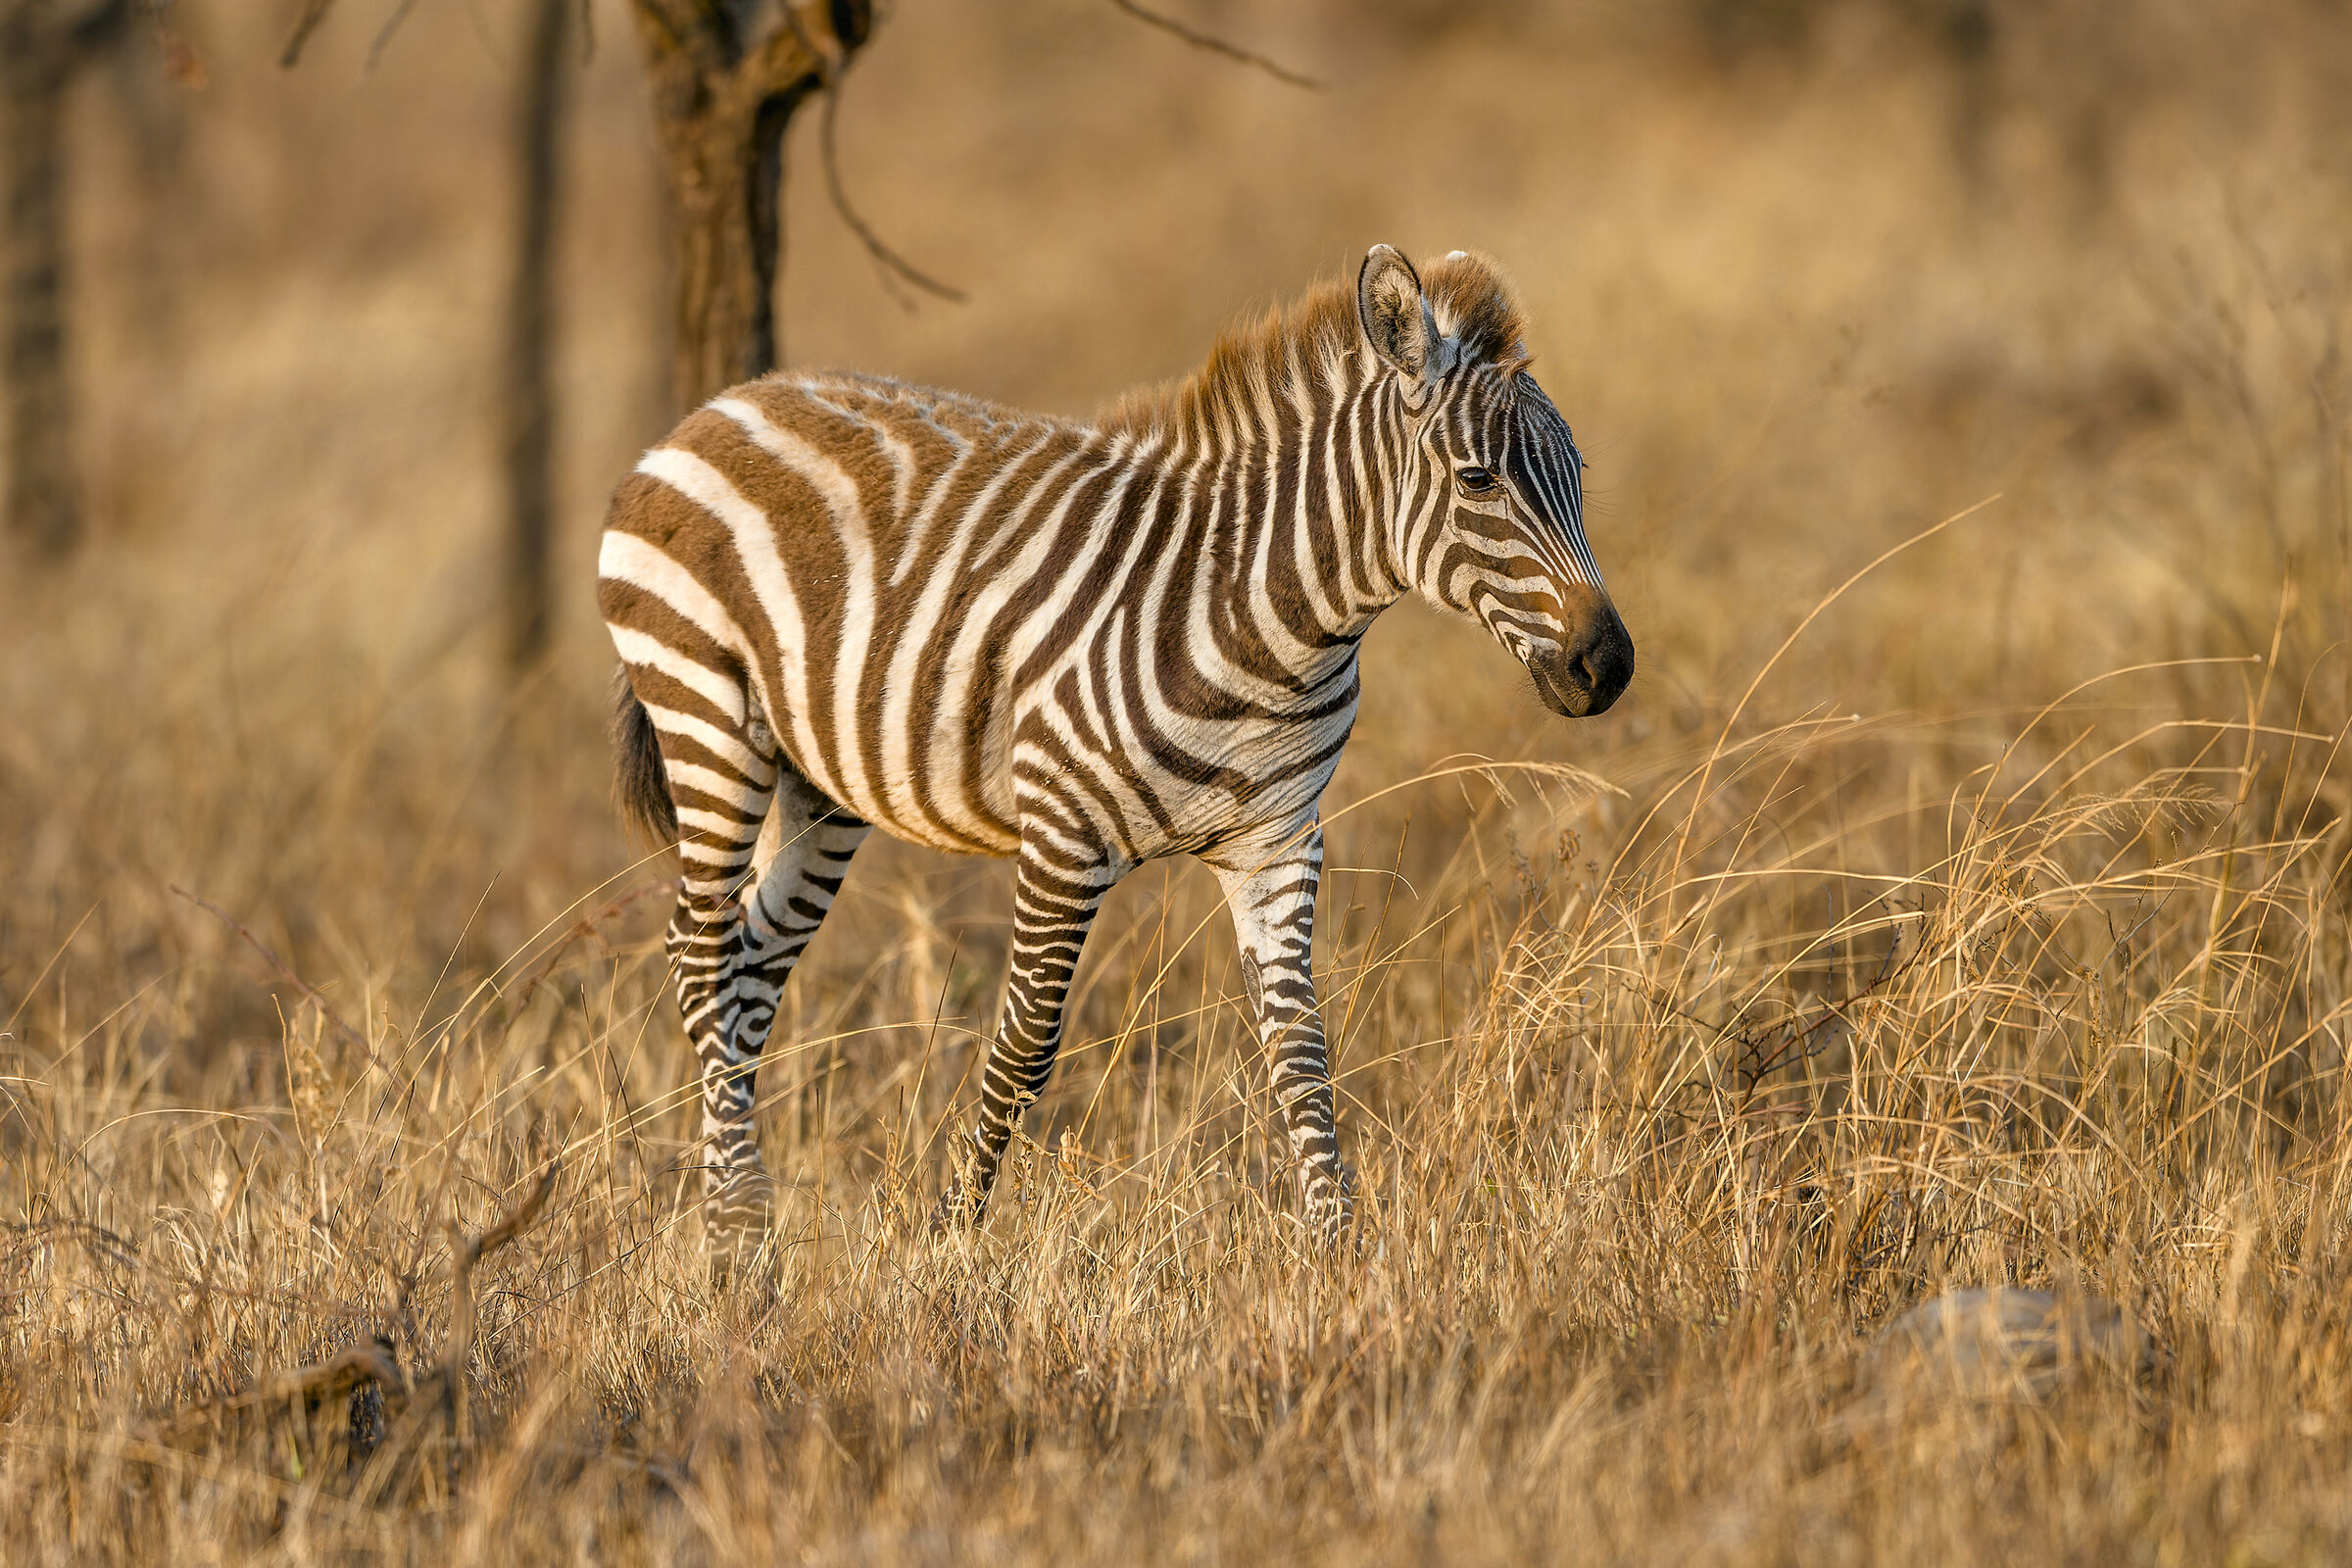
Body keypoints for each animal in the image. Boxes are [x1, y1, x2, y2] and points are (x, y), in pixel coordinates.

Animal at [598, 244, 1633, 1249]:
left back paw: (730, 1229)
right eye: (1478, 481)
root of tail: (719, 408)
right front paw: (948, 1244)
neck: (1275, 627)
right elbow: (1025, 1046)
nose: (1609, 666)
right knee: (698, 952)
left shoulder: (1278, 842)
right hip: (706, 712)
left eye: (1584, 478)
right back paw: (742, 1235)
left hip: (821, 782)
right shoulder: (1064, 837)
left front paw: (1340, 1256)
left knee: (750, 964)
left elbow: (1301, 1047)